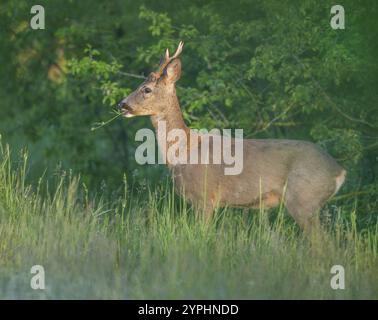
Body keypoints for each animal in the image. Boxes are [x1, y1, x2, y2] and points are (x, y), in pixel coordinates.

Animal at [118, 42, 346, 232]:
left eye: (146, 89)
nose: (122, 104)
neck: (183, 151)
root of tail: (339, 171)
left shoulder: (204, 197)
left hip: (303, 199)